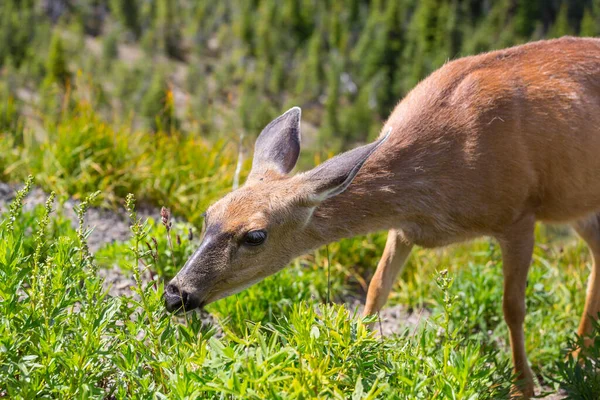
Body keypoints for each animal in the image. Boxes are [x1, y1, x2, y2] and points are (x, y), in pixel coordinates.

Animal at [165, 36, 600, 396]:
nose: (175, 293)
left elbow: (513, 307)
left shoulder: (518, 214)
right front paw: (351, 359)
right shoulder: (405, 228)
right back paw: (580, 354)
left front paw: (522, 387)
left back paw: (577, 359)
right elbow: (376, 289)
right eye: (207, 214)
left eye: (255, 236)